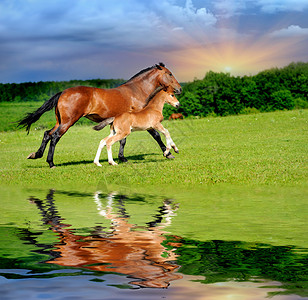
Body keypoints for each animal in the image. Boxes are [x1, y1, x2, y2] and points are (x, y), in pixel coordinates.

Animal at [17, 62, 180, 169]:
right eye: (170, 74)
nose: (179, 89)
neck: (136, 91)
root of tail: (63, 92)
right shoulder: (143, 121)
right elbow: (156, 135)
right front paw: (169, 153)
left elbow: (123, 141)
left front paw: (122, 158)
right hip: (68, 122)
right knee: (55, 136)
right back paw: (51, 163)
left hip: (60, 121)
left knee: (47, 134)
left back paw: (36, 155)